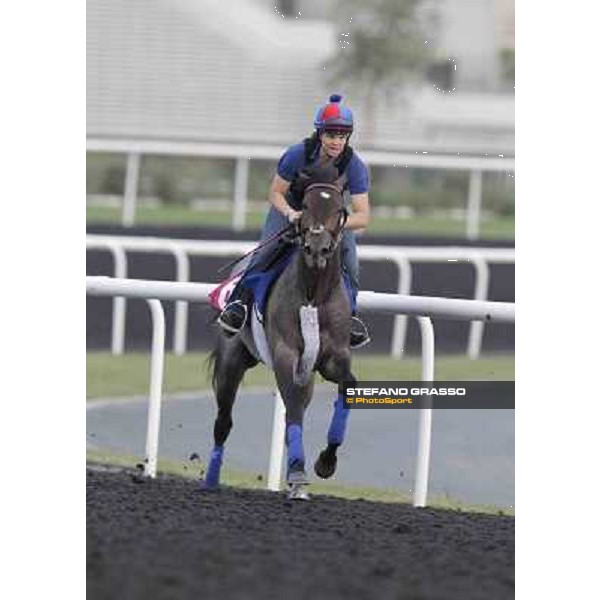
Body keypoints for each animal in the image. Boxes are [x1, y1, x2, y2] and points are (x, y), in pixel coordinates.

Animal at [204, 166, 358, 500]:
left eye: (339, 209)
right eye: (306, 205)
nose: (317, 248)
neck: (313, 295)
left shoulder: (332, 359)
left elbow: (347, 388)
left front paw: (326, 462)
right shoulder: (286, 354)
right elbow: (294, 411)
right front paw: (299, 474)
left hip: (306, 377)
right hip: (232, 360)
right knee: (224, 421)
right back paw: (210, 478)